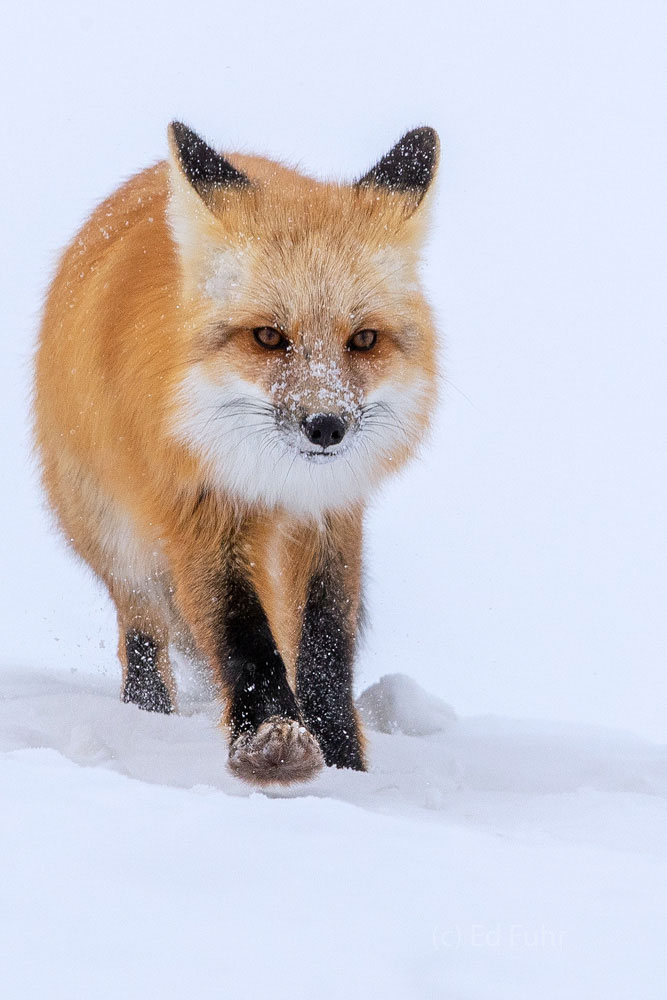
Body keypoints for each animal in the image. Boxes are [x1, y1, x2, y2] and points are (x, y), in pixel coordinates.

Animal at [34, 123, 440, 780]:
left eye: (364, 340)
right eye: (269, 337)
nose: (325, 426)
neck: (275, 481)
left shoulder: (331, 516)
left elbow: (324, 642)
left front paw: (343, 761)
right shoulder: (201, 511)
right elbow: (242, 633)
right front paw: (271, 739)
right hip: (115, 537)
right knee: (142, 631)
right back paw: (148, 715)